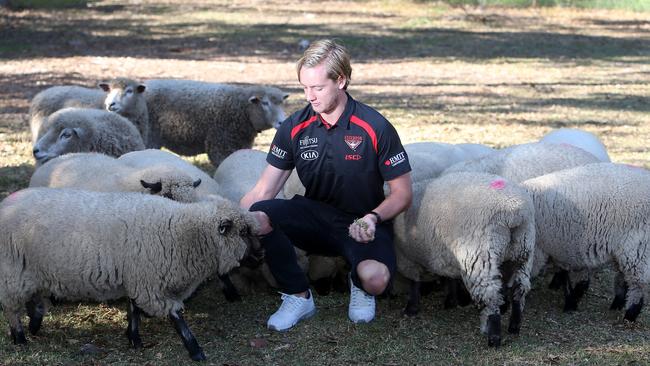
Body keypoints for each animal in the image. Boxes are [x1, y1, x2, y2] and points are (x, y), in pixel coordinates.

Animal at [0, 189, 258, 360]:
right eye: (243, 232)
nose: (261, 255)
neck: (184, 233)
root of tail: (7, 203)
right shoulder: (149, 283)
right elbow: (175, 315)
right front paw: (195, 350)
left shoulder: (138, 277)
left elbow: (134, 309)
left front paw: (134, 339)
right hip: (13, 270)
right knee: (11, 307)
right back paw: (20, 337)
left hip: (33, 271)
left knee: (34, 300)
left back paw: (33, 326)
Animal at [143, 79, 288, 168]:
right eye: (265, 103)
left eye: (281, 103)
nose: (282, 122)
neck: (241, 108)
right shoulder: (220, 145)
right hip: (150, 135)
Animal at [392, 173, 536, 348]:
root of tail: (515, 213)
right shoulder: (446, 256)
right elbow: (449, 278)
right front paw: (450, 300)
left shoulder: (407, 258)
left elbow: (414, 283)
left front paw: (411, 309)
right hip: (522, 251)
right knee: (518, 289)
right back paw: (514, 326)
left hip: (481, 257)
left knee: (492, 297)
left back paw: (494, 337)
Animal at [520, 163, 648, 320]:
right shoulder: (560, 248)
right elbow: (566, 275)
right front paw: (571, 301)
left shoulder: (540, 250)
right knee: (623, 277)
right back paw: (617, 304)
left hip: (637, 247)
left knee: (638, 284)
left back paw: (630, 315)